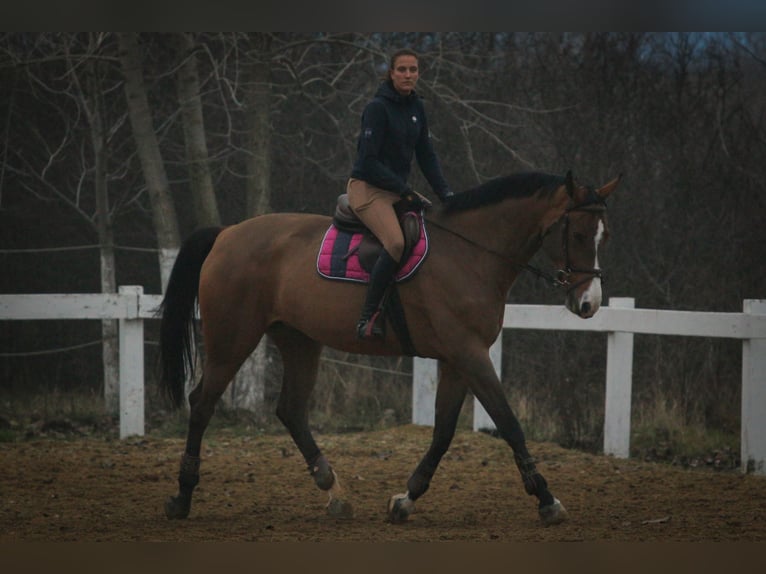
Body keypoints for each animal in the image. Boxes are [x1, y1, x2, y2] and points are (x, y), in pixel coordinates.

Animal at [159, 170, 621, 526]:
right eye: (580, 233)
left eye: (604, 236)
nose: (589, 304)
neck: (470, 253)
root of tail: (228, 234)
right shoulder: (470, 355)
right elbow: (509, 423)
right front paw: (547, 500)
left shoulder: (457, 361)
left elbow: (443, 432)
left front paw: (405, 499)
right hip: (231, 339)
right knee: (202, 403)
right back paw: (182, 497)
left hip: (299, 340)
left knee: (290, 410)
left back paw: (334, 492)